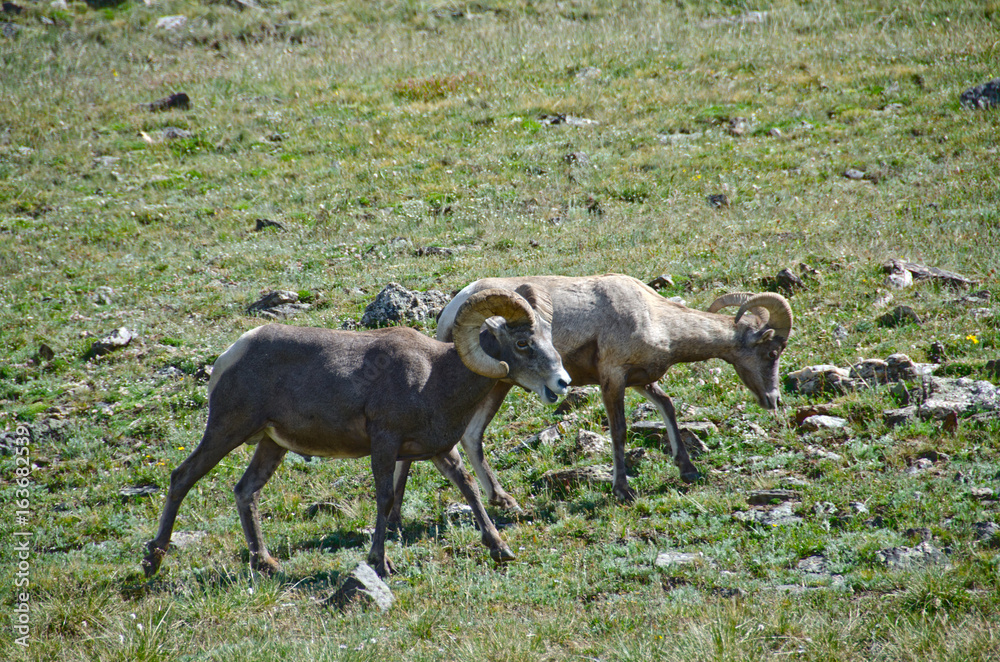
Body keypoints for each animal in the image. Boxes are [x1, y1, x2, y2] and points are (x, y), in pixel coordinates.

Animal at [142, 287, 571, 579]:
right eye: (522, 344)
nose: (562, 383)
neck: (435, 376)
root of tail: (232, 353)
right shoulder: (385, 443)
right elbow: (385, 498)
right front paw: (380, 563)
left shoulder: (438, 450)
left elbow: (468, 488)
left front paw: (501, 549)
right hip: (227, 430)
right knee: (182, 477)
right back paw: (153, 559)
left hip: (270, 444)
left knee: (245, 491)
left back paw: (265, 563)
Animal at [392, 273, 792, 512]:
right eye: (772, 352)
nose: (772, 401)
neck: (657, 318)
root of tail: (451, 312)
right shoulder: (613, 378)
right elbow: (619, 432)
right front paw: (623, 490)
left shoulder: (640, 379)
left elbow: (667, 406)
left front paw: (688, 469)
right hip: (496, 385)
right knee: (466, 437)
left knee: (471, 437)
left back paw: (502, 501)